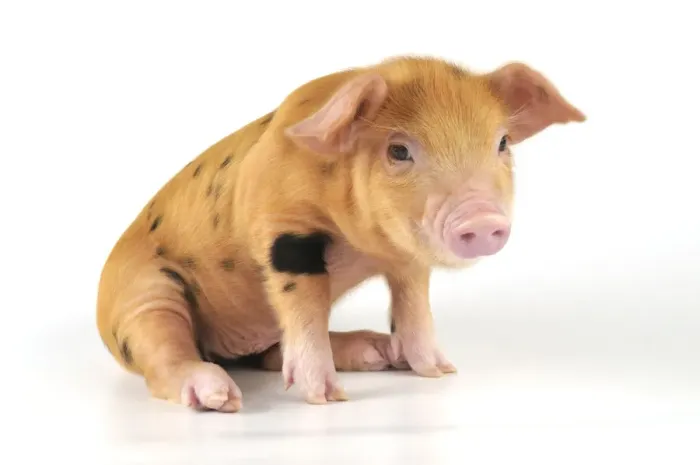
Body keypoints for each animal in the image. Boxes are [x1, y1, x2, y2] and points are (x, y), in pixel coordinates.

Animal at [96, 55, 585, 412]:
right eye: (399, 151)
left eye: (502, 143)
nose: (481, 220)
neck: (362, 244)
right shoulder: (282, 230)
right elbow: (305, 308)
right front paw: (327, 399)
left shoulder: (407, 258)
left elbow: (414, 308)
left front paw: (440, 370)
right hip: (141, 298)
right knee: (165, 352)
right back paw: (218, 397)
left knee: (268, 352)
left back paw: (378, 352)